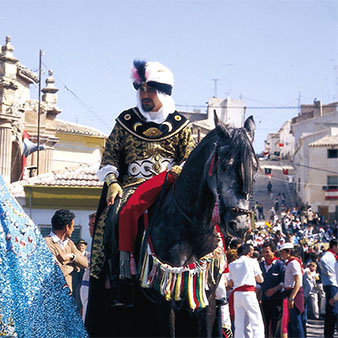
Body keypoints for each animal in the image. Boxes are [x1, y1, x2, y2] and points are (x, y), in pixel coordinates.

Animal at [136, 113, 258, 336]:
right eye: (224, 166)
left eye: (254, 168)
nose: (240, 225)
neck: (191, 230)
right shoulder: (165, 303)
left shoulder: (206, 302)